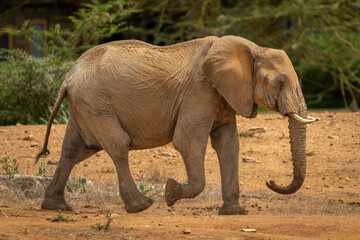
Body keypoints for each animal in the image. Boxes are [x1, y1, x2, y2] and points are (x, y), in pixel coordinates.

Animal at [35, 35, 318, 216]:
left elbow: (229, 146)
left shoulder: (223, 97)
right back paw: (141, 206)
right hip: (97, 105)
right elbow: (187, 141)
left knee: (74, 150)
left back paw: (55, 207)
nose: (271, 181)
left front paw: (234, 213)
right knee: (117, 146)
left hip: (85, 106)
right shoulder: (201, 92)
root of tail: (68, 77)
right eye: (279, 82)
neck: (252, 48)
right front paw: (170, 193)